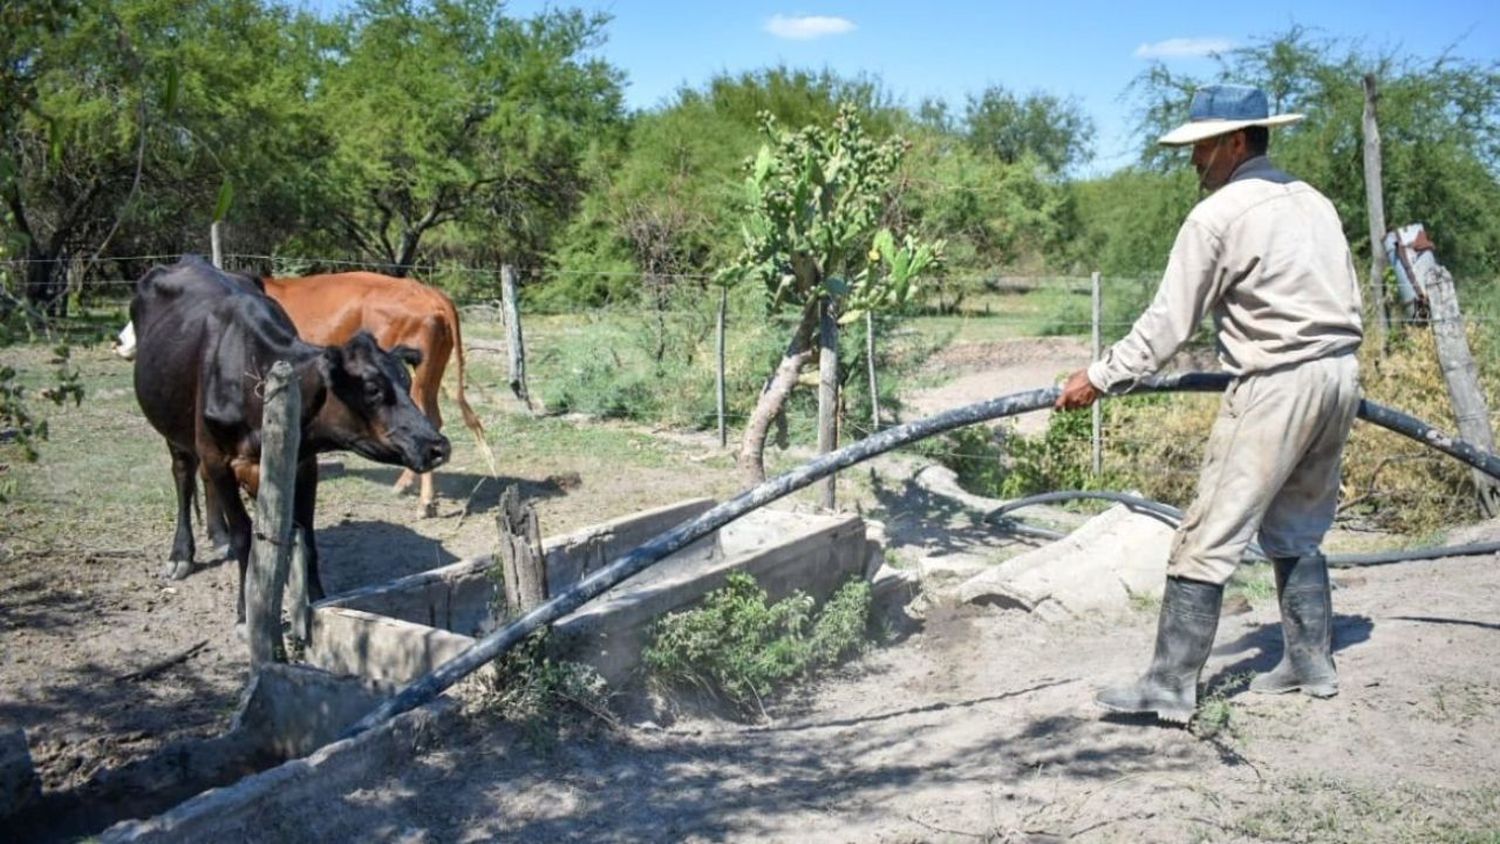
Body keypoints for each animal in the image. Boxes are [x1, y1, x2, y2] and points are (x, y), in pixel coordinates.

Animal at [131, 257, 447, 620]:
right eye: (372, 389)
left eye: (406, 383)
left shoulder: (304, 463)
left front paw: (317, 600)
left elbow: (305, 538)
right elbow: (244, 536)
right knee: (184, 476)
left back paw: (218, 536)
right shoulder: (217, 456)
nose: (438, 446)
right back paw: (181, 555)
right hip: (176, 430)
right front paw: (245, 610)